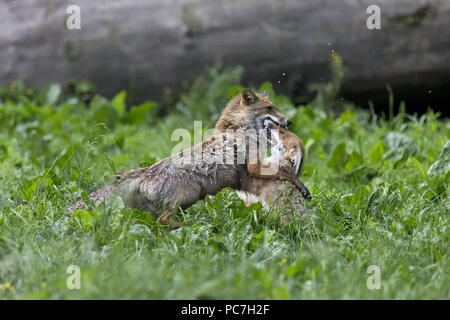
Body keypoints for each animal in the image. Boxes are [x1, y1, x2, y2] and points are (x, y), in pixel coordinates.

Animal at [67, 89, 310, 226]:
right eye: (269, 108)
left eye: (276, 108)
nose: (288, 121)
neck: (239, 130)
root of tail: (143, 173)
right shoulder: (253, 165)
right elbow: (286, 174)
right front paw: (303, 188)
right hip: (189, 195)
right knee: (163, 220)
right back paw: (189, 228)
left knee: (157, 221)